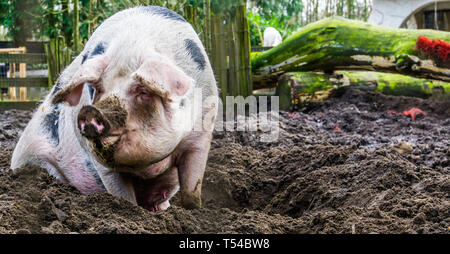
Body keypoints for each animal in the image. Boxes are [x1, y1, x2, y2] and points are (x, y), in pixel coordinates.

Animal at [10, 6, 218, 212]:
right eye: (97, 88)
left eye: (143, 90)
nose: (91, 111)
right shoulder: (99, 160)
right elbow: (123, 196)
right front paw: (129, 209)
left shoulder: (201, 134)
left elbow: (192, 187)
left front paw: (194, 210)